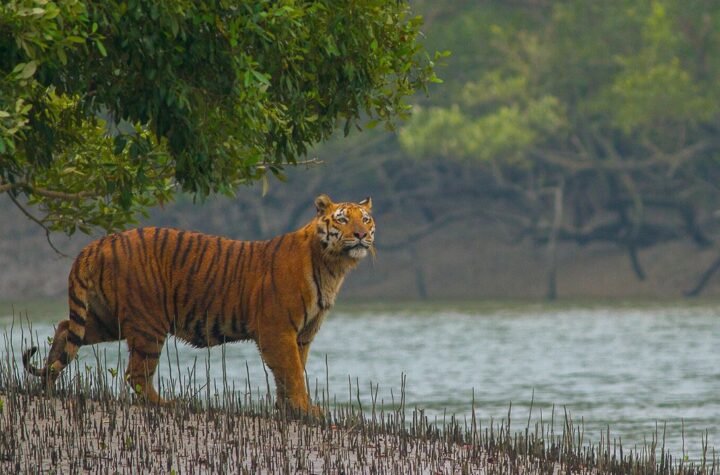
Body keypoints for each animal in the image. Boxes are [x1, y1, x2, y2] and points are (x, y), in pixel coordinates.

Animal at [21, 194, 376, 416]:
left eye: (366, 219)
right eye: (342, 220)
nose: (361, 235)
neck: (333, 266)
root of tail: (98, 243)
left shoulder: (302, 334)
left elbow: (292, 372)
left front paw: (290, 409)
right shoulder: (278, 330)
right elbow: (291, 372)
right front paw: (305, 410)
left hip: (107, 319)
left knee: (65, 329)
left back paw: (48, 385)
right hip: (148, 323)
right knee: (136, 373)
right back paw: (167, 404)